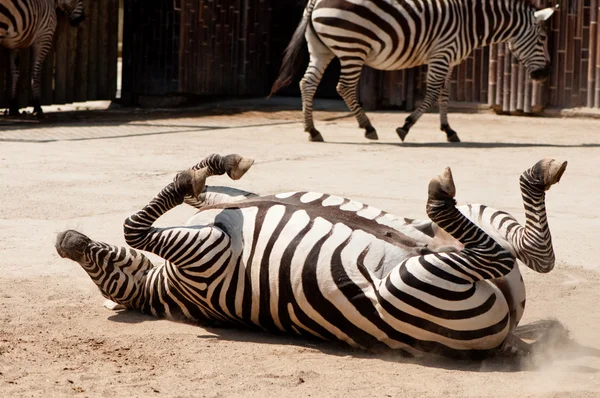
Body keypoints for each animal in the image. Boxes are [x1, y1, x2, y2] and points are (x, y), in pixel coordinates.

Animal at [56, 154, 568, 360]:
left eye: (99, 265)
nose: (64, 239)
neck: (166, 289)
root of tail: (503, 336)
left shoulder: (223, 218)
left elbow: (210, 191)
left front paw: (217, 165)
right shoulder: (206, 254)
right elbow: (134, 225)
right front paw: (192, 177)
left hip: (457, 239)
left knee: (530, 252)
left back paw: (537, 174)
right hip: (415, 281)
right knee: (503, 255)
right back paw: (442, 194)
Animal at [272, 0, 556, 143]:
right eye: (542, 38)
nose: (543, 75)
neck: (472, 22)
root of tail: (315, 1)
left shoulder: (448, 58)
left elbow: (444, 95)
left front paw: (449, 131)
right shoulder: (442, 54)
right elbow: (431, 95)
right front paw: (405, 127)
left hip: (321, 48)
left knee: (307, 84)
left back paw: (312, 131)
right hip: (353, 46)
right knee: (344, 87)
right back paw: (368, 127)